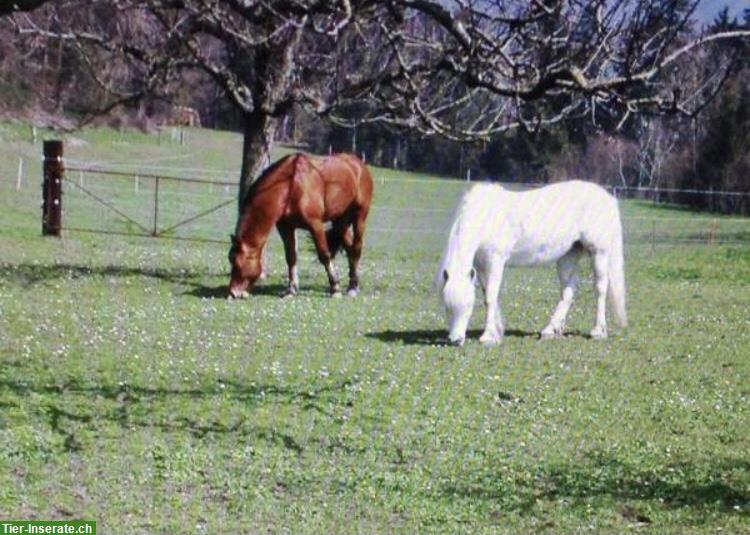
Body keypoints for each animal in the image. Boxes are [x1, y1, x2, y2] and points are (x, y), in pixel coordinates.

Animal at [226, 153, 374, 300]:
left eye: (237, 263)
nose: (233, 292)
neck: (290, 185)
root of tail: (359, 165)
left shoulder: (315, 225)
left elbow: (324, 255)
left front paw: (335, 288)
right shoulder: (285, 227)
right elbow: (291, 257)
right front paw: (291, 290)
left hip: (359, 217)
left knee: (356, 248)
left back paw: (353, 287)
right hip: (340, 221)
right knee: (349, 248)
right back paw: (352, 284)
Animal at [438, 181, 632, 348]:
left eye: (468, 306)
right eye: (447, 306)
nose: (455, 340)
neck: (487, 217)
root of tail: (608, 198)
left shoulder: (495, 261)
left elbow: (490, 298)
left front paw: (487, 336)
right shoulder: (480, 266)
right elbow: (487, 295)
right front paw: (496, 331)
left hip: (599, 253)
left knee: (600, 289)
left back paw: (598, 331)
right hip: (568, 256)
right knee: (568, 292)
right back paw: (550, 330)